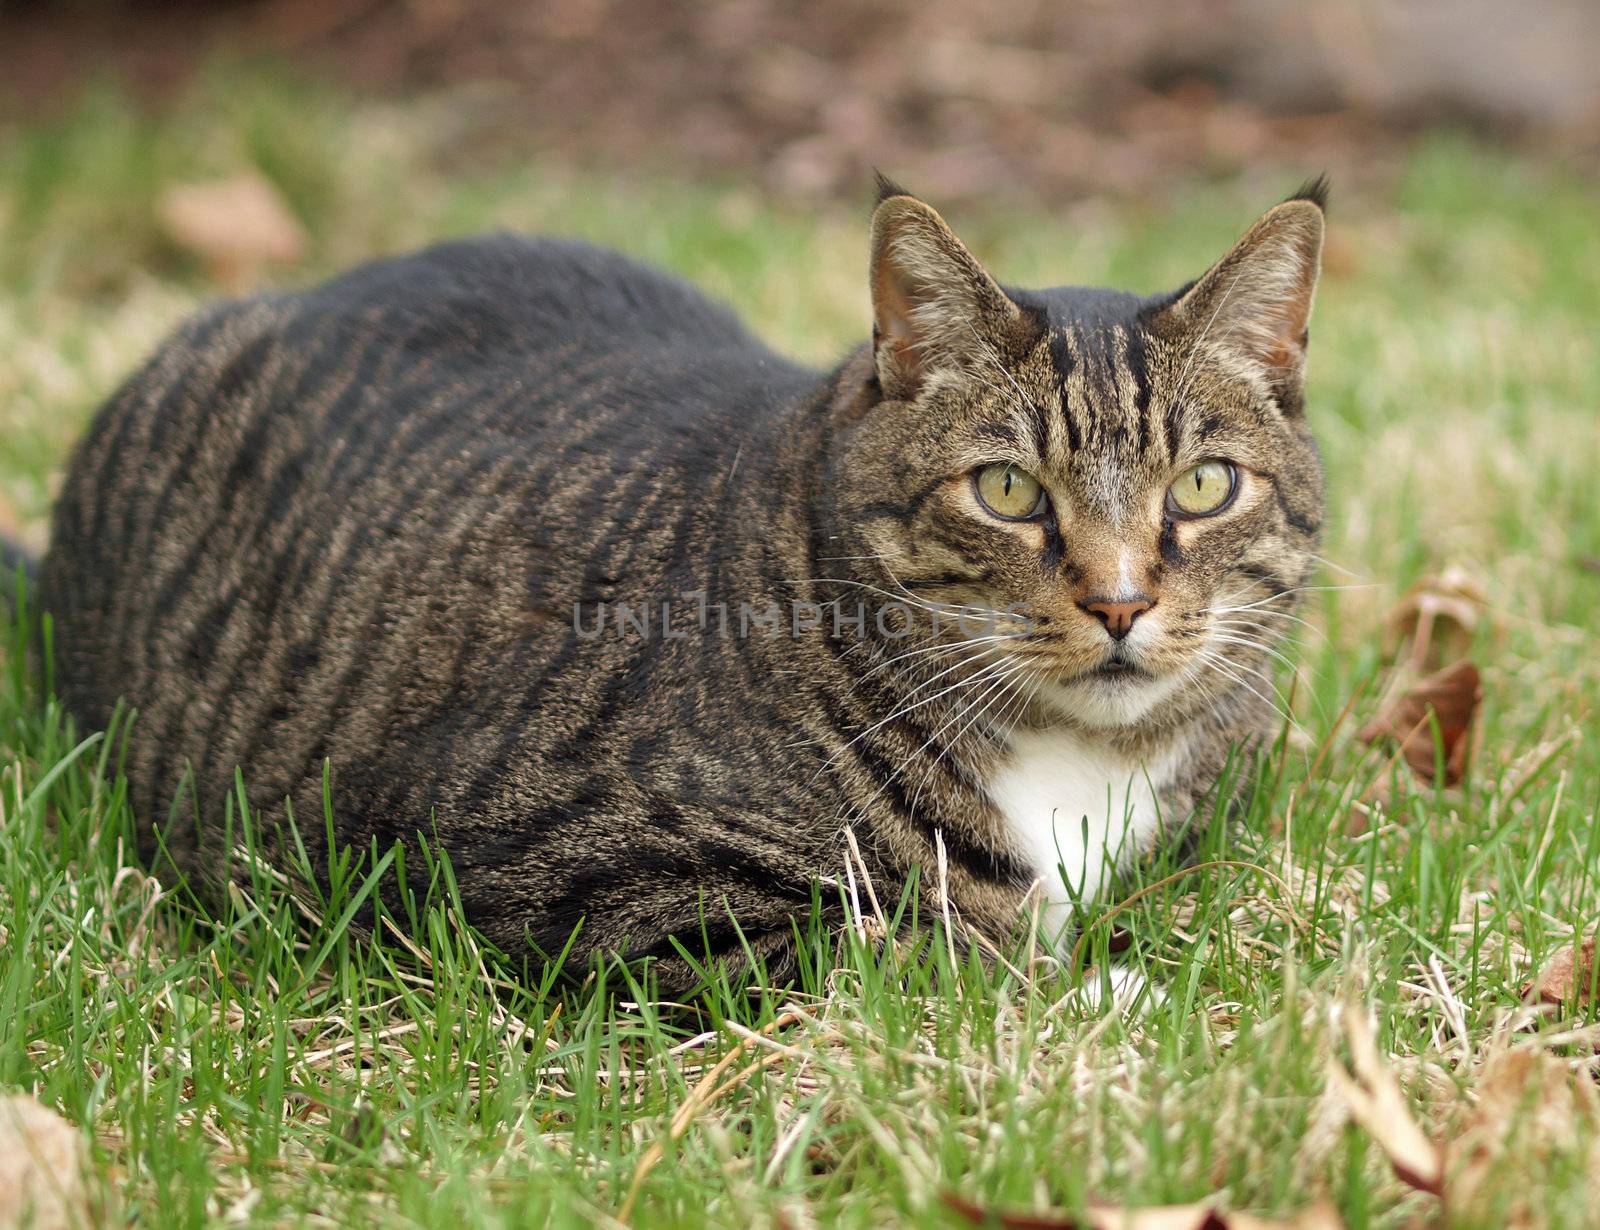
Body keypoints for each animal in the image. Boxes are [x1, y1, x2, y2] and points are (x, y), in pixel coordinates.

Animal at [21, 179, 1324, 985]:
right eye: (1005, 490)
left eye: (1203, 485)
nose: (1119, 601)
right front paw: (1100, 996)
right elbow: (909, 957)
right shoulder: (525, 856)